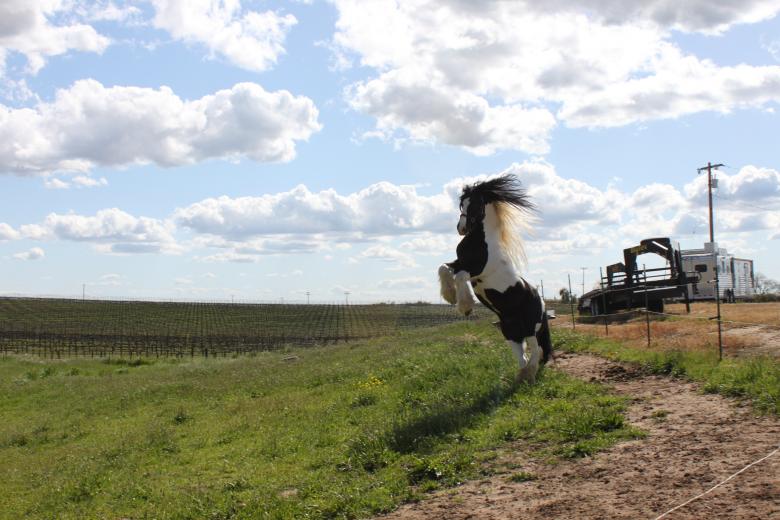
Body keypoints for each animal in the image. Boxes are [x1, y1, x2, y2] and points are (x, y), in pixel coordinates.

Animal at [438, 174, 552, 384]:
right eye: (462, 204)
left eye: (476, 204)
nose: (462, 228)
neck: (481, 240)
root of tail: (542, 302)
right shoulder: (460, 262)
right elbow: (443, 268)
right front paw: (450, 296)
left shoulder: (477, 270)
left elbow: (460, 276)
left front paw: (466, 306)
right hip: (510, 331)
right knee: (523, 357)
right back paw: (521, 378)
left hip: (531, 328)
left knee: (537, 350)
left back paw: (529, 376)